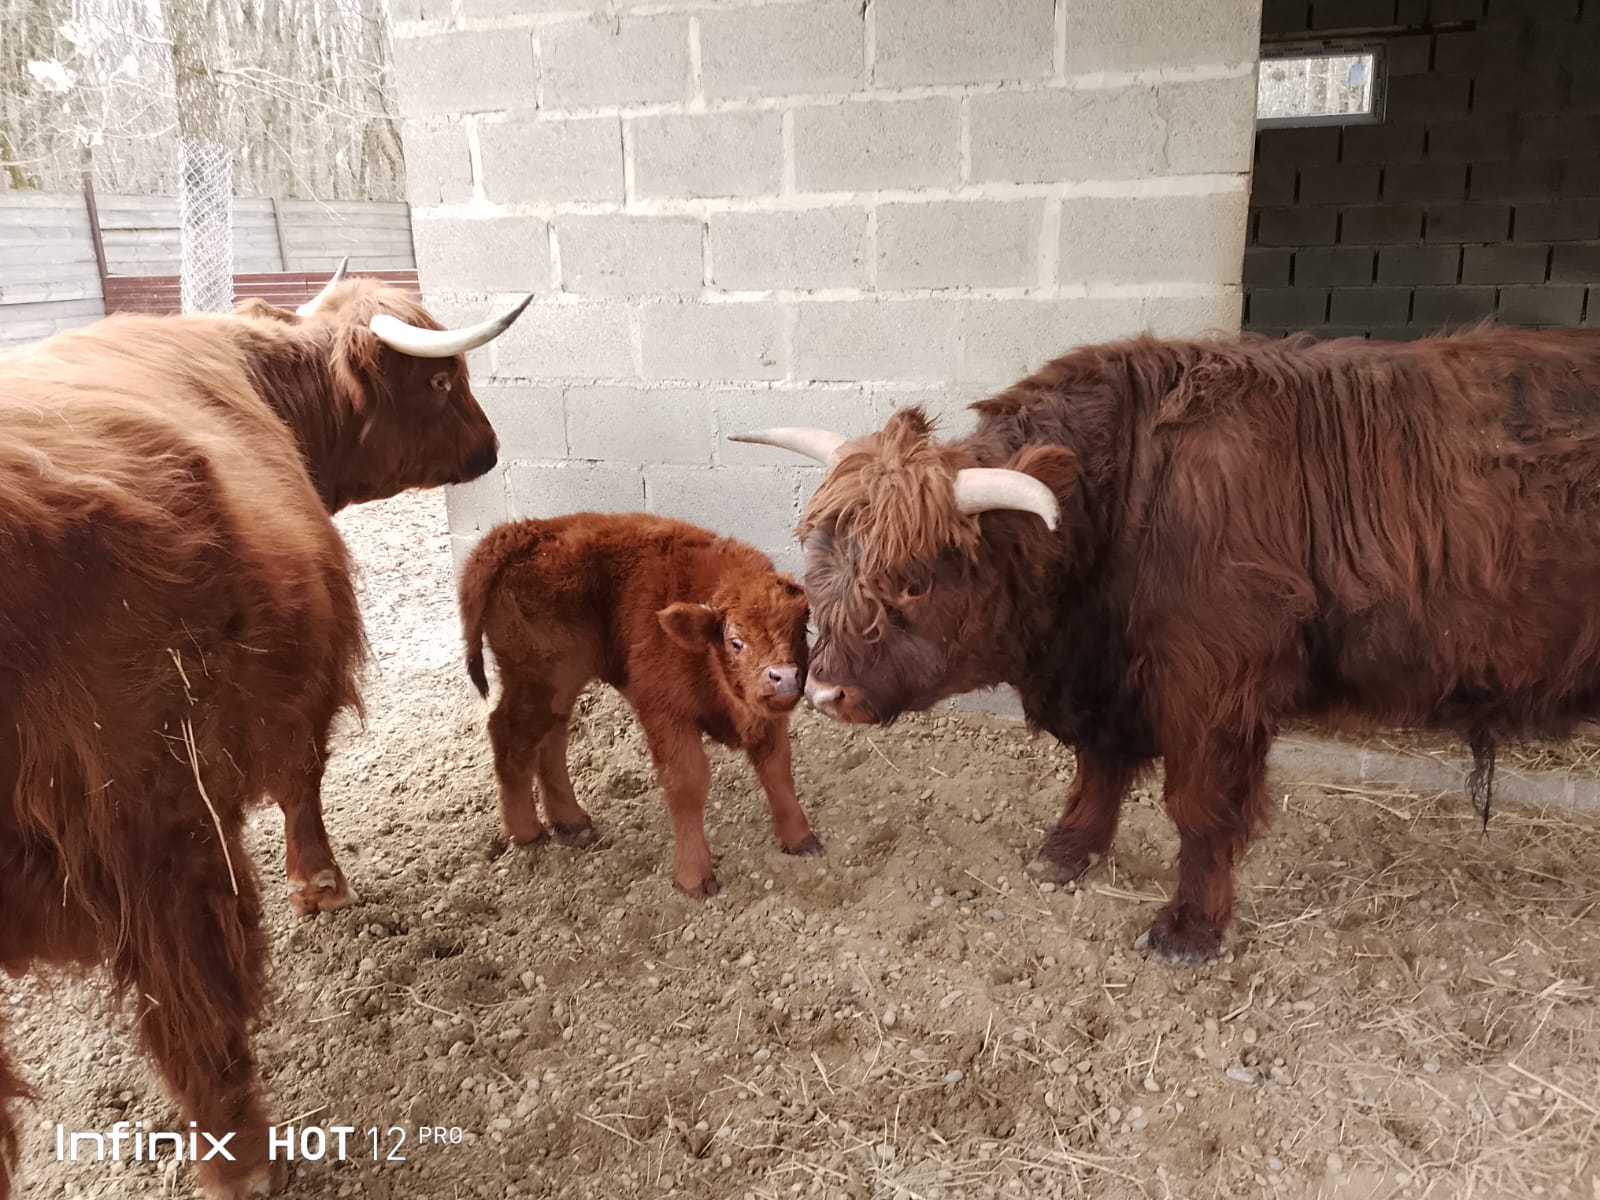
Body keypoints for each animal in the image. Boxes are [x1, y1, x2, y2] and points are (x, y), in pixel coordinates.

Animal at [457, 512, 819, 896]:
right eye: (736, 641)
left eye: (801, 631)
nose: (784, 677)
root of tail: (519, 532)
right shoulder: (666, 714)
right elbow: (687, 784)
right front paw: (694, 878)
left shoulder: (768, 720)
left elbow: (776, 768)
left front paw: (801, 839)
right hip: (536, 683)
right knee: (510, 737)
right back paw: (527, 832)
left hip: (558, 687)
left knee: (550, 739)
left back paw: (572, 823)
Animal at [736, 326, 1600, 966]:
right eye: (817, 554)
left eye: (914, 582)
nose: (824, 691)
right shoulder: (1111, 677)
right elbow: (1099, 765)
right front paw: (1068, 849)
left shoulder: (1216, 682)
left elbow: (1202, 808)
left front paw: (1189, 929)